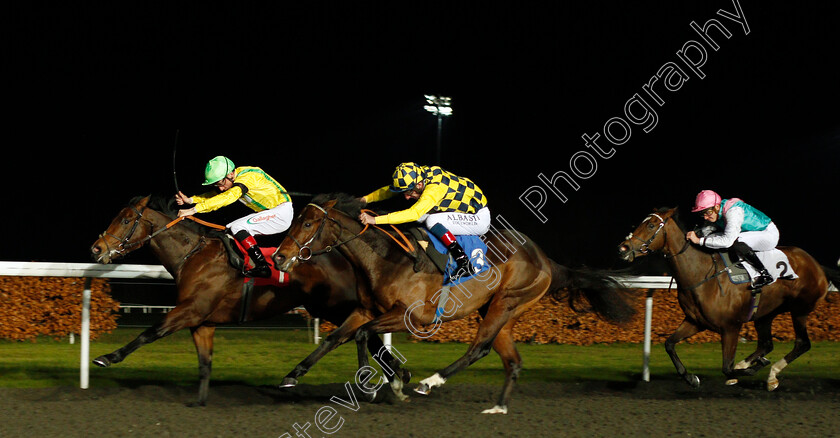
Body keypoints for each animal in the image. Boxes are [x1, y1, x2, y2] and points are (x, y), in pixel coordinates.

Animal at [88, 195, 410, 404]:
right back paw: (397, 377)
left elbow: (149, 333)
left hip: (335, 305)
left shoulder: (190, 310)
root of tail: (344, 253)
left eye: (126, 219)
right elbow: (205, 364)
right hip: (328, 306)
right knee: (364, 336)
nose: (96, 248)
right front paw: (200, 401)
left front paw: (107, 357)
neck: (194, 255)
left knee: (357, 335)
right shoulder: (203, 322)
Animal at [272, 194, 632, 414]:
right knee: (511, 361)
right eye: (296, 220)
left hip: (506, 302)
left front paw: (375, 385)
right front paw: (292, 376)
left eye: (307, 224)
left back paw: (430, 382)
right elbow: (336, 338)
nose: (278, 257)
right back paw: (498, 407)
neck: (386, 258)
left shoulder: (412, 316)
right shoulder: (366, 310)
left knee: (478, 349)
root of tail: (546, 260)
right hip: (502, 310)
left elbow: (363, 337)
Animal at [616, 207, 832, 392]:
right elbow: (669, 344)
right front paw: (691, 378)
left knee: (802, 343)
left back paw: (771, 375)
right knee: (766, 344)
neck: (701, 274)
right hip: (765, 314)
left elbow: (727, 367)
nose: (623, 248)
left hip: (800, 310)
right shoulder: (695, 321)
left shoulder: (731, 327)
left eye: (651, 225)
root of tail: (816, 265)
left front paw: (751, 368)